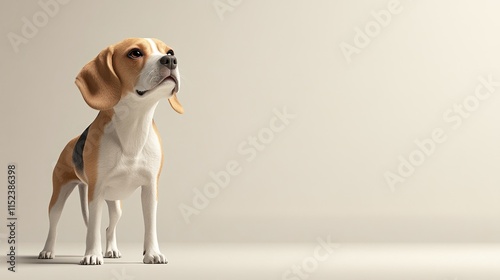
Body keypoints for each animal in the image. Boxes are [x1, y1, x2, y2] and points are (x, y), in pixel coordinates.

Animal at [38, 37, 184, 264]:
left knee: (109, 227)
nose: (171, 60)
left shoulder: (150, 188)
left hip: (115, 205)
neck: (134, 125)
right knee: (55, 224)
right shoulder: (96, 190)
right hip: (59, 195)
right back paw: (48, 250)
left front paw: (152, 253)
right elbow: (92, 230)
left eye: (169, 51)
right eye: (135, 53)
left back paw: (112, 250)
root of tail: (72, 141)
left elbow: (150, 225)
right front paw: (92, 255)